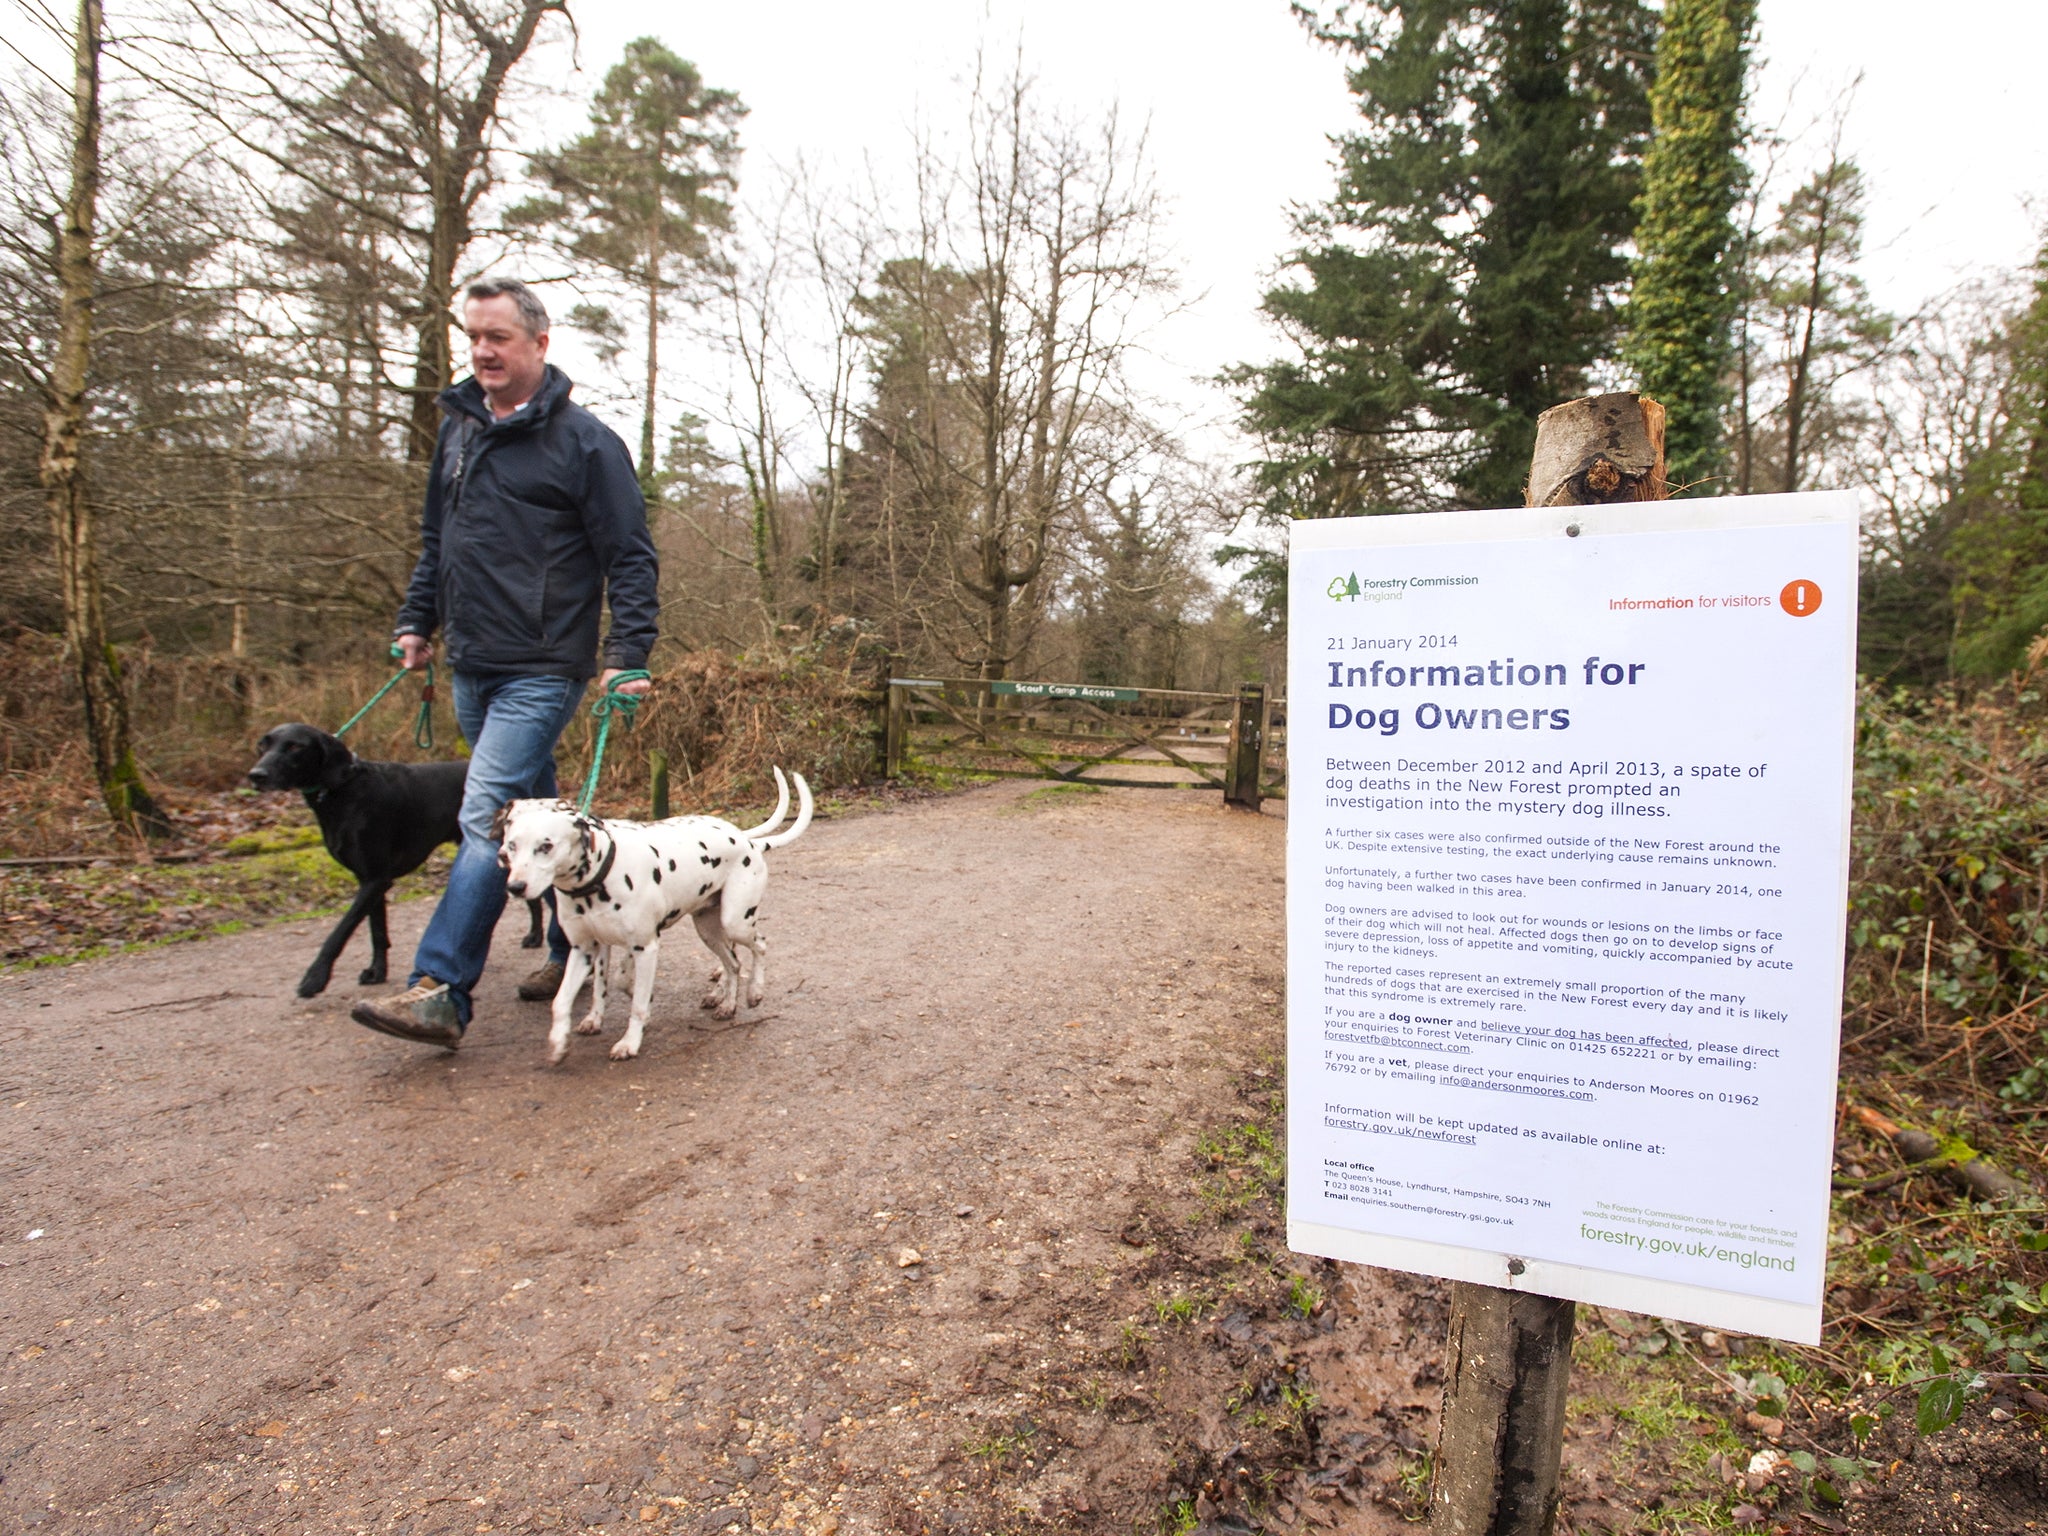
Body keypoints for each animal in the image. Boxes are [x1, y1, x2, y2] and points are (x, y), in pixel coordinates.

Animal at [246, 729, 544, 1003]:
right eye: (263, 744)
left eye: (295, 746)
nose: (256, 775)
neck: (344, 788)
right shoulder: (370, 880)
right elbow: (377, 931)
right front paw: (377, 972)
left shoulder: (375, 880)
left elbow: (339, 933)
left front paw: (315, 978)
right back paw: (536, 936)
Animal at [497, 770, 815, 1073]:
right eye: (512, 843)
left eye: (546, 846)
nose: (515, 886)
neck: (601, 872)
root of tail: (746, 840)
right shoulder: (586, 949)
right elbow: (569, 999)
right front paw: (562, 1041)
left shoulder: (645, 947)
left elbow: (635, 1000)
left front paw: (630, 1041)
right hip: (708, 929)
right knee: (733, 963)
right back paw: (726, 1002)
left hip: (736, 921)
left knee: (759, 945)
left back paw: (754, 992)